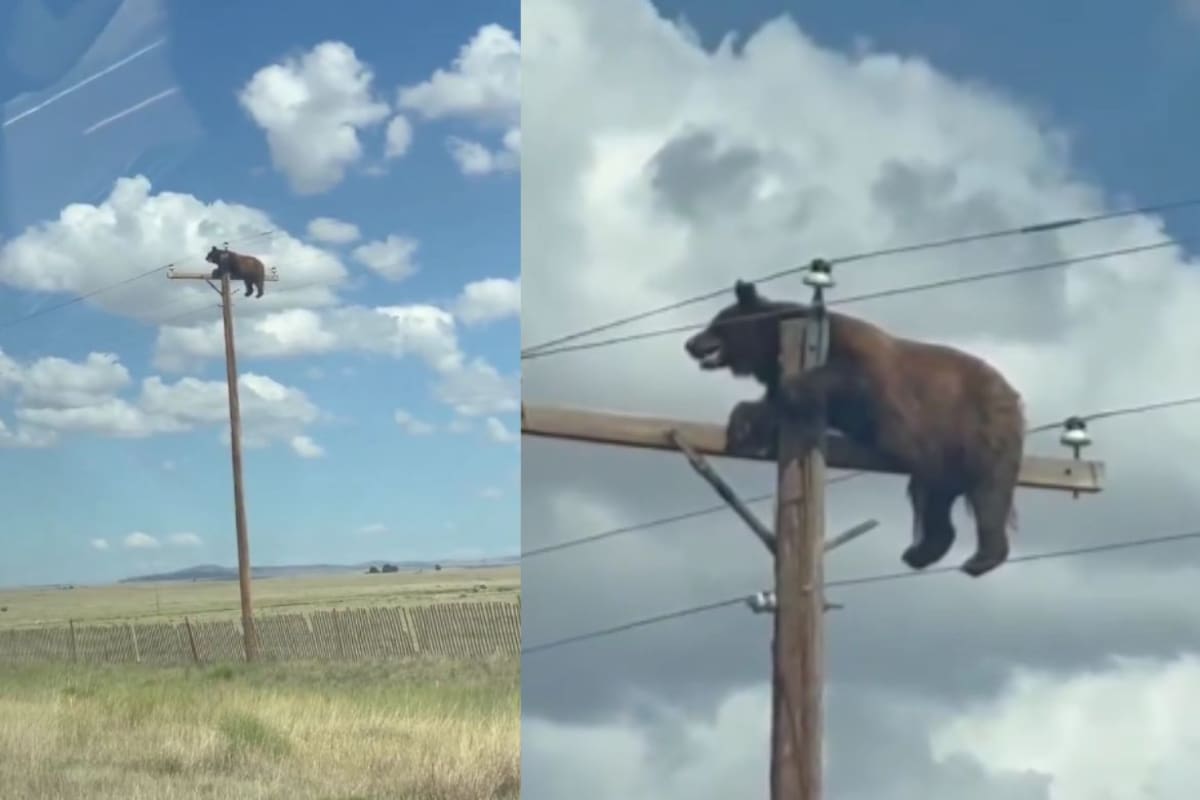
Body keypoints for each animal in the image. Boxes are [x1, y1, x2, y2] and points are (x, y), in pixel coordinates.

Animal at [684, 279, 1025, 578]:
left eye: (716, 322)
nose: (689, 343)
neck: (773, 345)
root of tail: (1012, 393)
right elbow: (772, 407)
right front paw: (742, 426)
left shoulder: (855, 356)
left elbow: (844, 379)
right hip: (942, 455)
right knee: (933, 497)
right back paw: (921, 552)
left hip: (980, 426)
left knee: (989, 490)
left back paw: (982, 557)